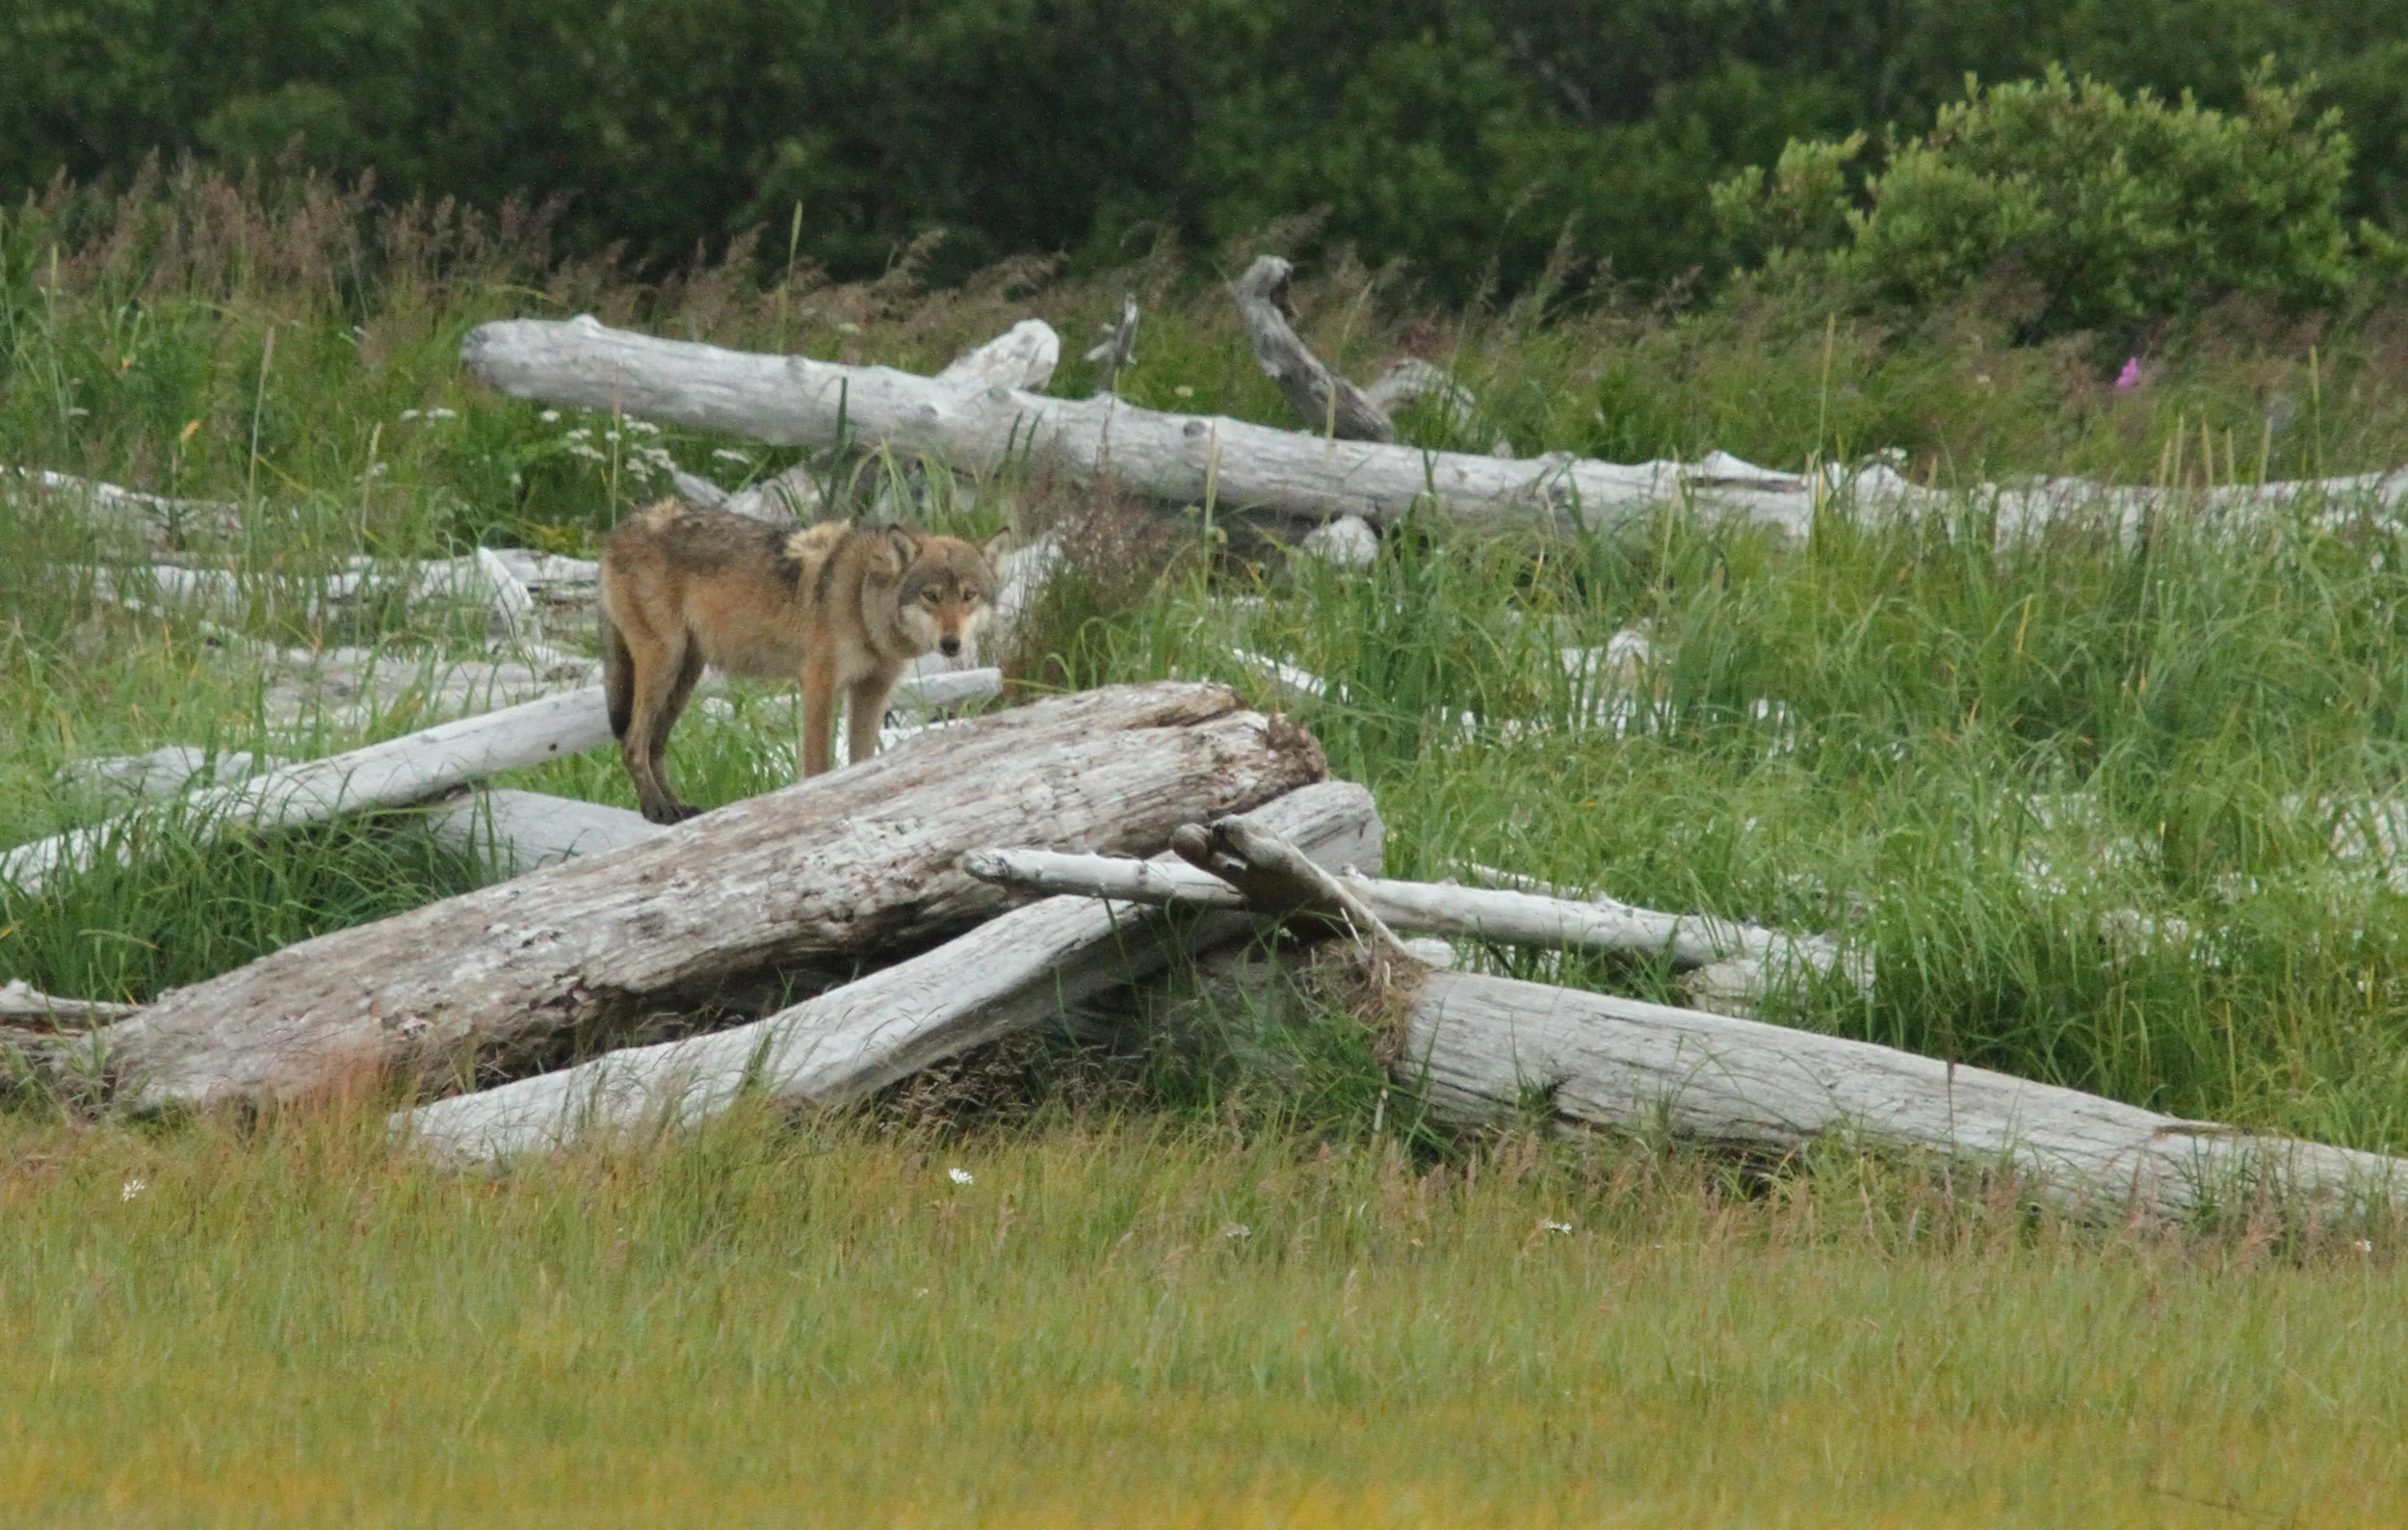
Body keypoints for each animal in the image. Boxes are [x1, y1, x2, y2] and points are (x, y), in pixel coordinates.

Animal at [599, 499, 1003, 823]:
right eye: (931, 596)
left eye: (969, 596)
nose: (951, 644)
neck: (861, 598)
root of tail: (621, 529)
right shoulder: (819, 683)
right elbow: (818, 765)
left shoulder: (872, 691)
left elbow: (862, 761)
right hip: (664, 664)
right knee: (632, 742)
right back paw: (658, 809)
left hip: (684, 677)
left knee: (654, 745)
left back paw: (676, 807)